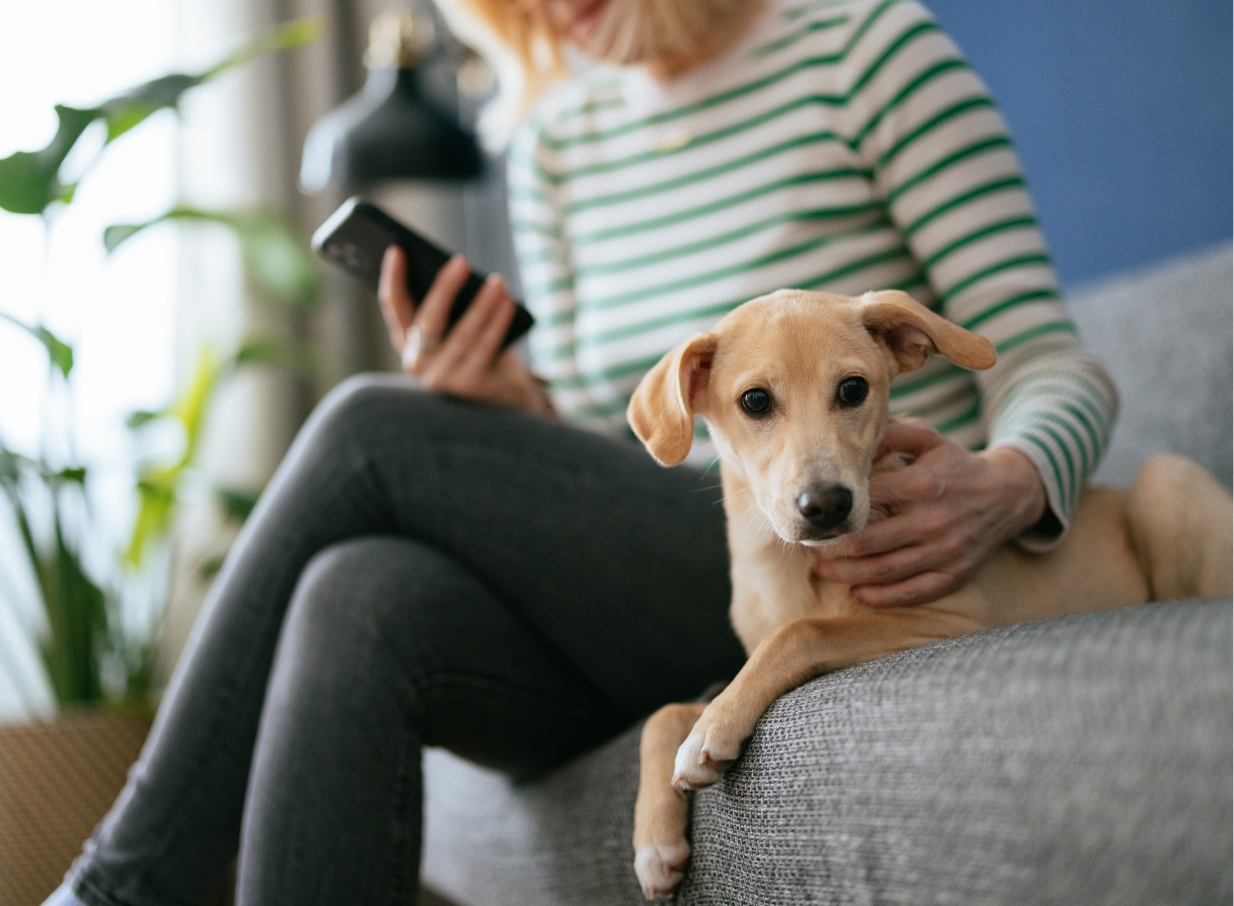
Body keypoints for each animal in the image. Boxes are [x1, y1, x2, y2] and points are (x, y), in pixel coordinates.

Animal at [626, 291, 1234, 903]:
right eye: (754, 400)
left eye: (853, 389)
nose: (827, 505)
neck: (788, 565)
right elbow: (665, 713)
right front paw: (654, 844)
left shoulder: (950, 619)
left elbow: (801, 632)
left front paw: (713, 731)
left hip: (1164, 479)